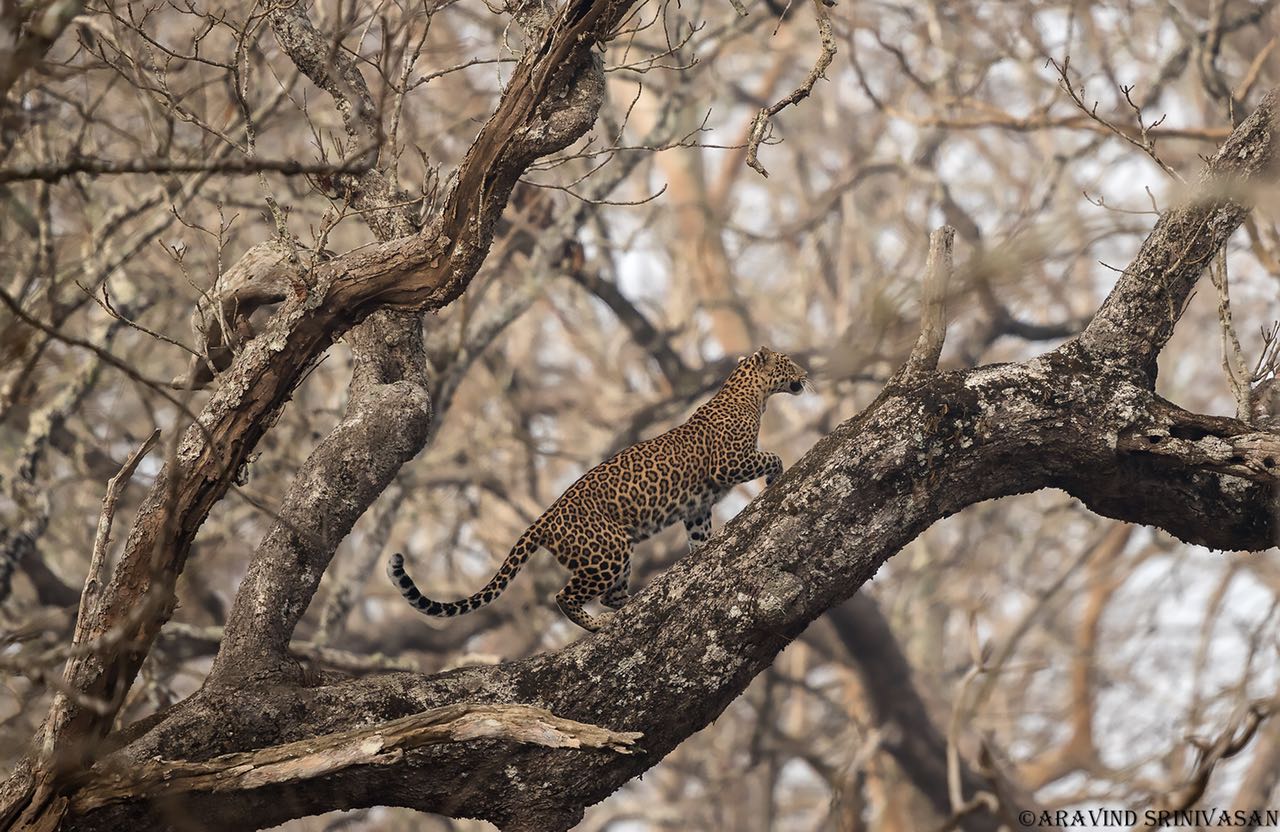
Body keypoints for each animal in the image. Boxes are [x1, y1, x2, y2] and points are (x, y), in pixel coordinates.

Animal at [389, 345, 808, 629]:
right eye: (788, 360)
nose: (805, 374)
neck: (753, 395)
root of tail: (545, 518)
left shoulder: (697, 507)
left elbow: (700, 534)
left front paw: (702, 554)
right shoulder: (729, 463)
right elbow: (771, 456)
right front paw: (775, 477)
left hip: (613, 555)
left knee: (609, 596)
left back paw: (633, 604)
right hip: (607, 550)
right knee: (564, 595)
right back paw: (597, 625)